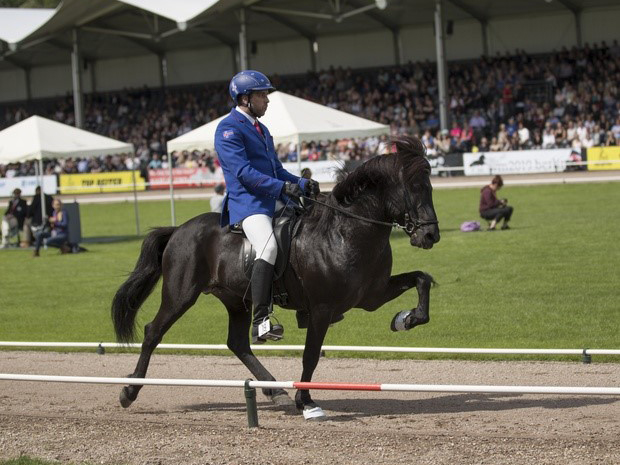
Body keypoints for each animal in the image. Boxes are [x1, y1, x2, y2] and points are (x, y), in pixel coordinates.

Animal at [111, 135, 440, 420]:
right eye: (413, 186)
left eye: (430, 186)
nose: (430, 236)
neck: (345, 231)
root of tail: (179, 229)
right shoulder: (322, 309)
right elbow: (311, 355)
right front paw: (306, 401)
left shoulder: (372, 295)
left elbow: (422, 279)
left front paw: (407, 319)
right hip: (180, 295)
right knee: (153, 332)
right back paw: (129, 390)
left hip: (237, 301)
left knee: (237, 344)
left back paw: (274, 390)